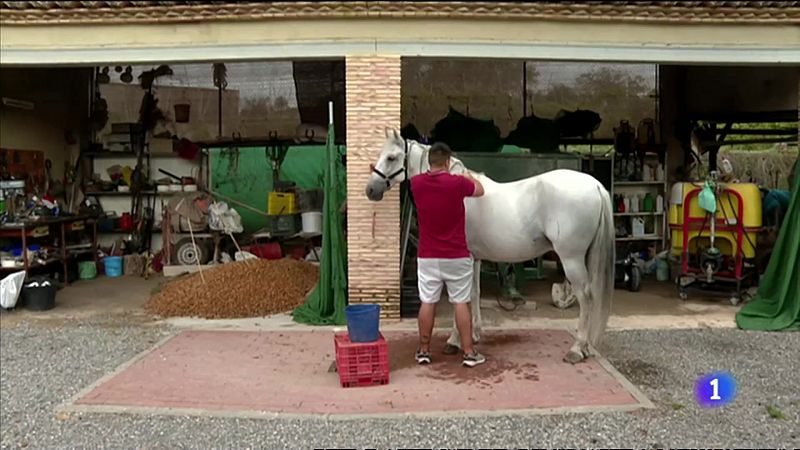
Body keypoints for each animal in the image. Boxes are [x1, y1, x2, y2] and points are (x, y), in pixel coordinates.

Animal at [366, 127, 616, 362]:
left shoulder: (460, 260)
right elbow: (474, 293)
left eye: (391, 157)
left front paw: (454, 340)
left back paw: (576, 349)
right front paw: (474, 333)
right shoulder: (474, 257)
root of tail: (595, 186)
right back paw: (585, 348)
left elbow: (460, 296)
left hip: (571, 259)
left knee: (585, 297)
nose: (370, 190)